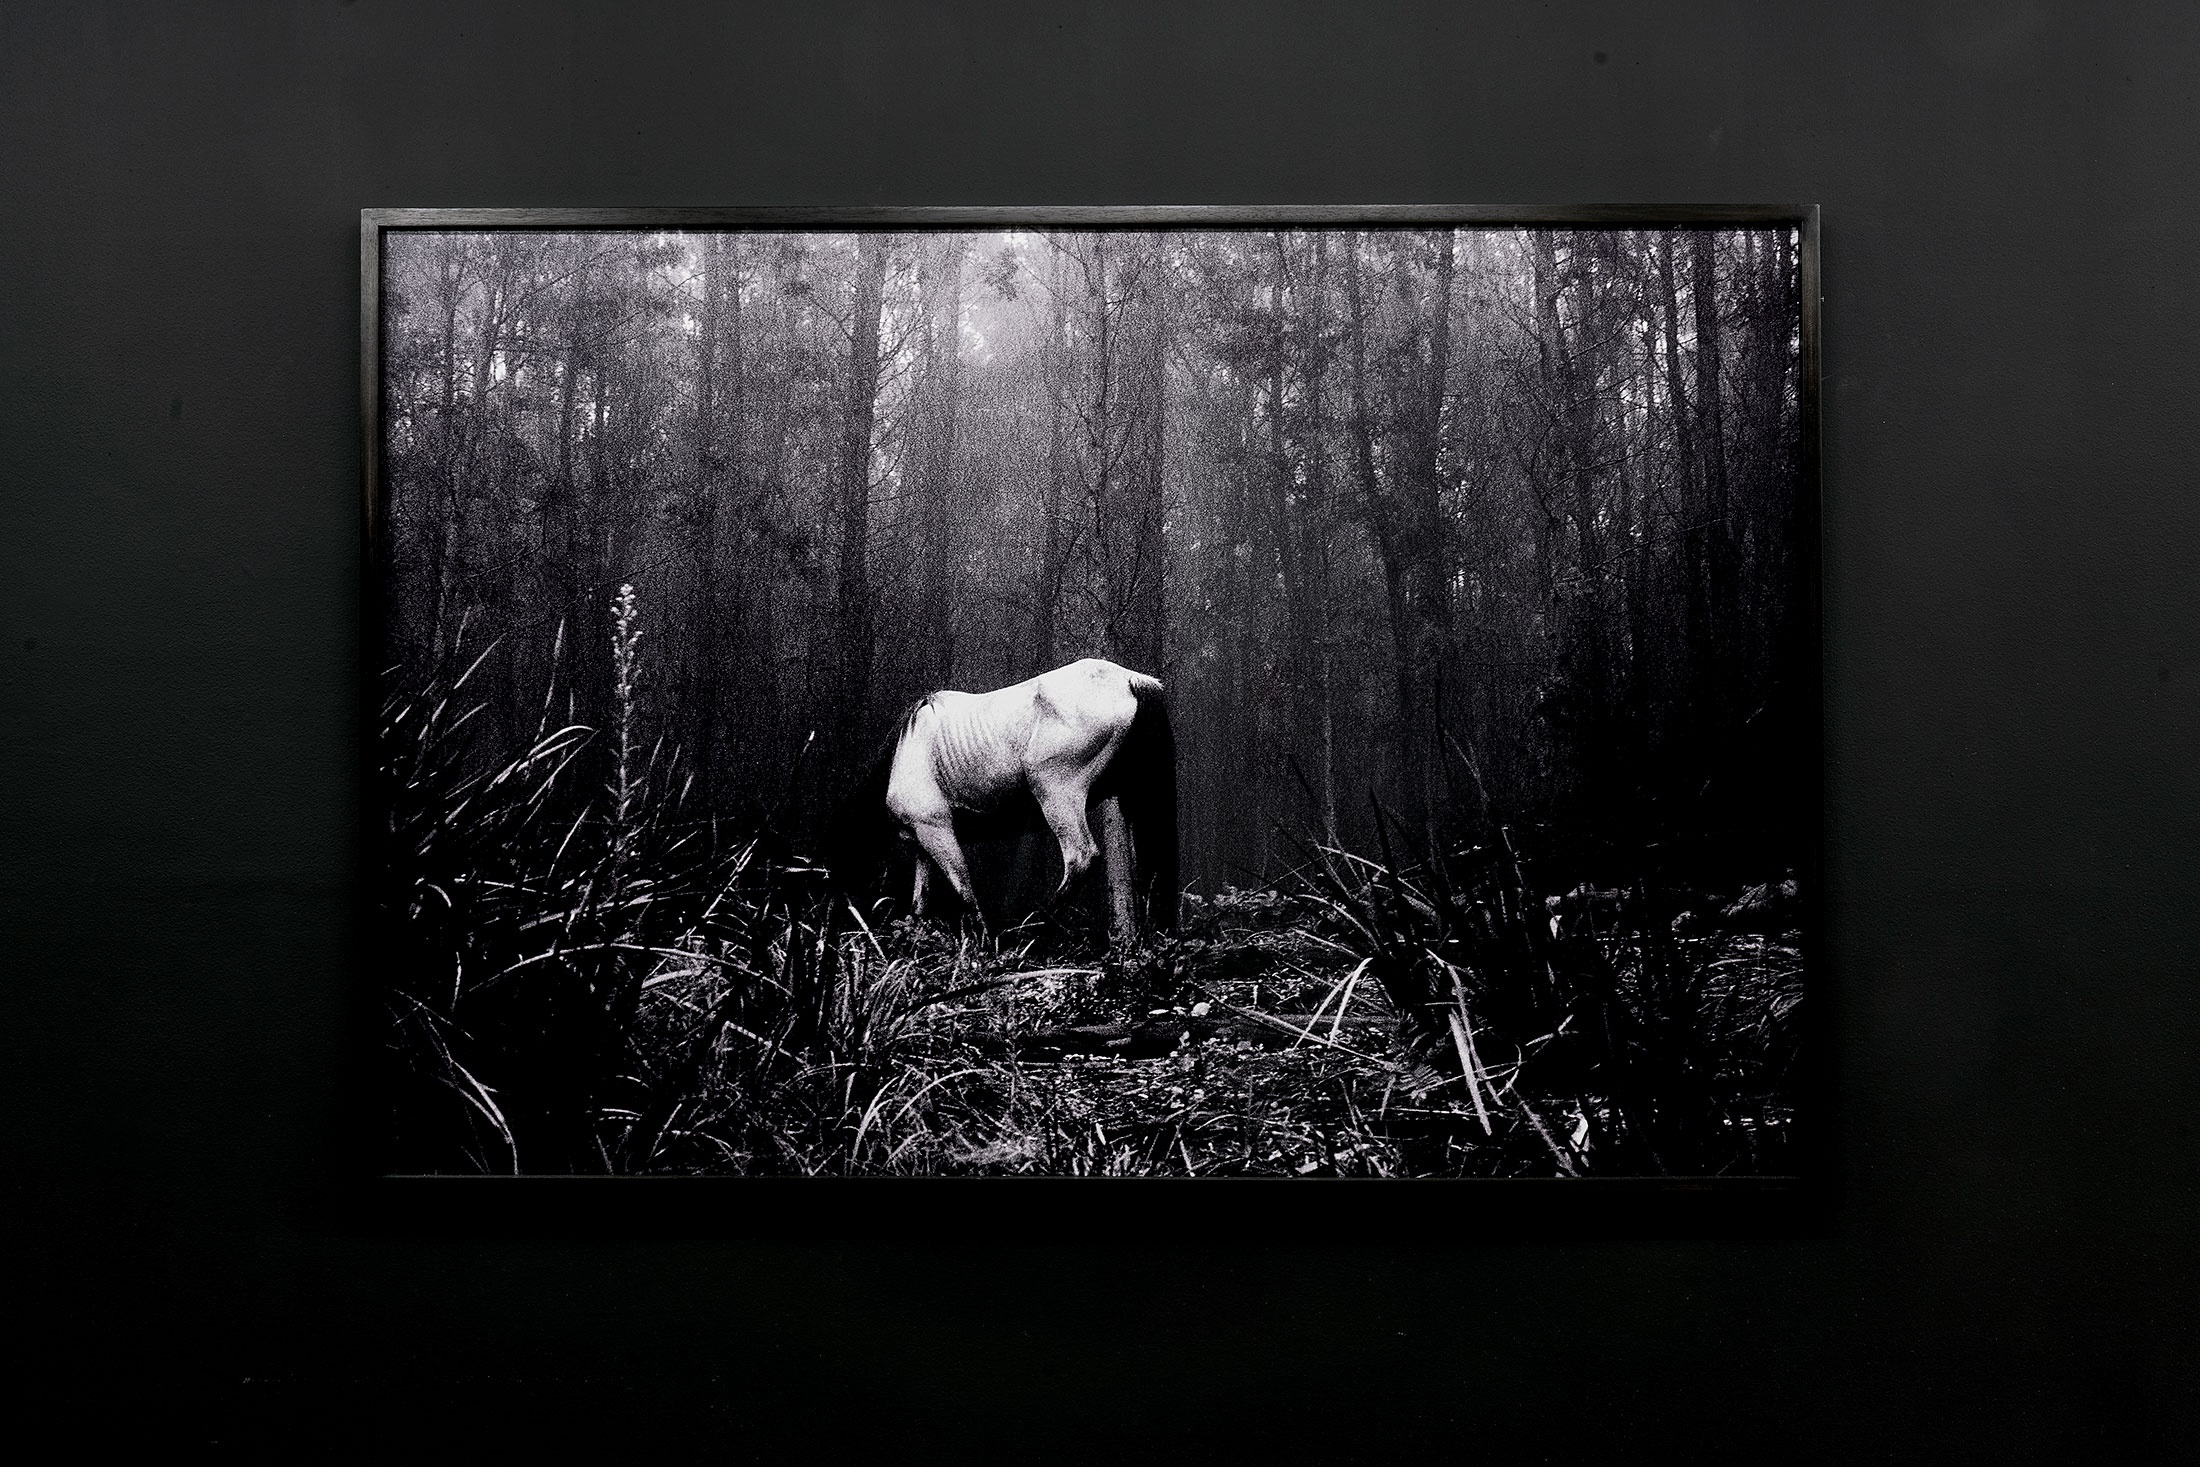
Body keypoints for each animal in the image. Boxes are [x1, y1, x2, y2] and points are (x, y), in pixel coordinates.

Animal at [827, 659, 1179, 945]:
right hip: (1134, 799)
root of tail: (1131, 681)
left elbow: (963, 888)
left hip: (1057, 794)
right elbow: (920, 905)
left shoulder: (937, 831)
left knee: (1081, 858)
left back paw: (1030, 932)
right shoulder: (923, 846)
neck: (903, 754)